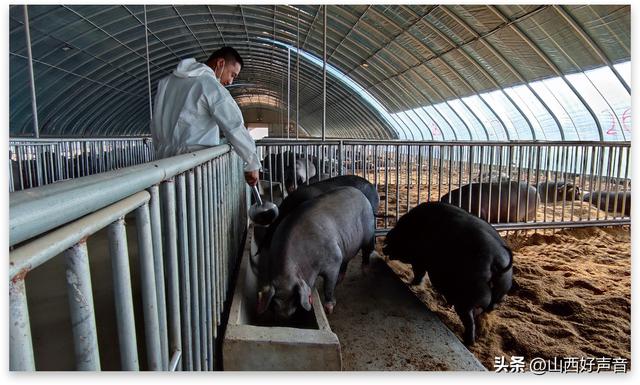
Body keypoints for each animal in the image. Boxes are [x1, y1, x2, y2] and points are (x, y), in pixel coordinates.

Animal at [255, 185, 376, 316]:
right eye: (275, 301)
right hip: (345, 246)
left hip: (368, 232)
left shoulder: (334, 259)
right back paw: (340, 278)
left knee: (366, 251)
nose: (284, 314)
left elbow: (328, 285)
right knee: (346, 261)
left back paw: (365, 271)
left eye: (294, 298)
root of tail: (360, 193)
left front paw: (329, 309)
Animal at [382, 201, 512, 344]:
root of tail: (497, 262)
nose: (385, 241)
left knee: (469, 321)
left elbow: (418, 274)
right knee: (483, 314)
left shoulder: (419, 260)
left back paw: (467, 341)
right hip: (497, 297)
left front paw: (409, 284)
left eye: (399, 230)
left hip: (468, 298)